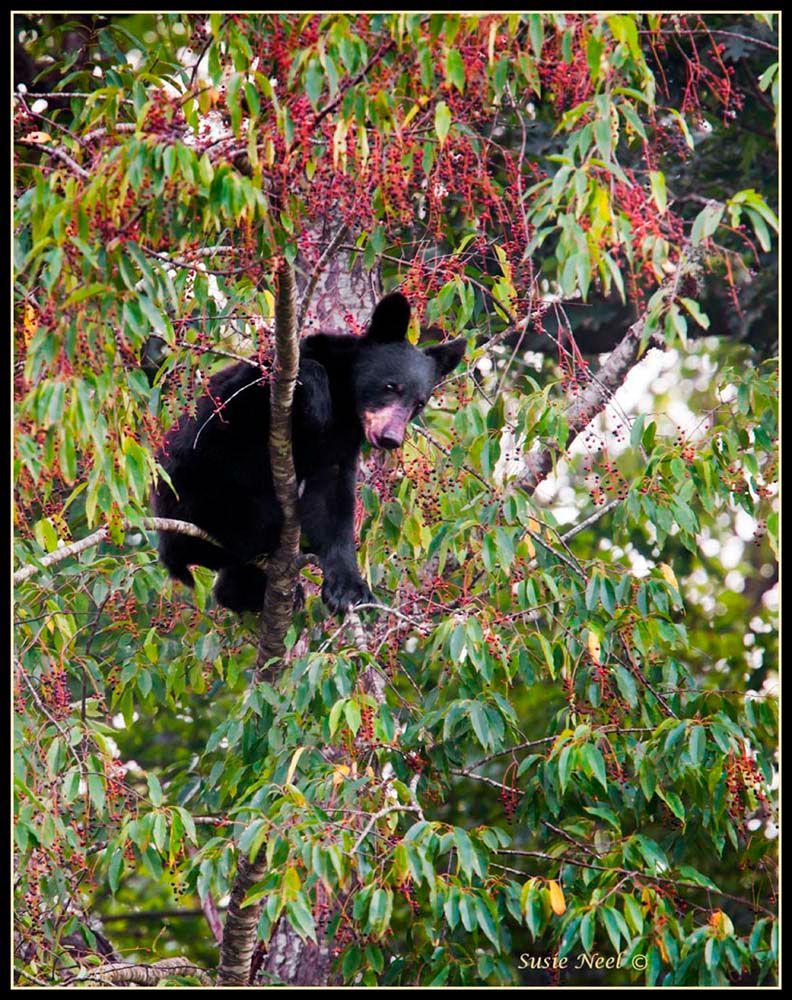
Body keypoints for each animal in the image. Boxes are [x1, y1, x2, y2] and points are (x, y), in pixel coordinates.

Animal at [152, 292, 465, 614]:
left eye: (419, 402)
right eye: (391, 386)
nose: (390, 437)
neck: (346, 403)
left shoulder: (341, 446)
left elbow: (332, 502)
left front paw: (350, 588)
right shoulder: (254, 389)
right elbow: (238, 407)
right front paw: (315, 399)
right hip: (198, 497)